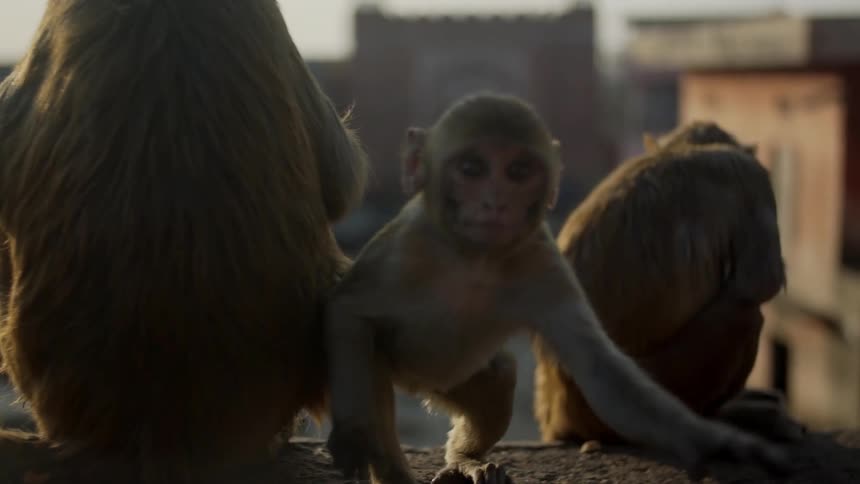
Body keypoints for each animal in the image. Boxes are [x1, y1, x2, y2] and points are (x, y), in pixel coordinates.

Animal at [532, 120, 806, 451]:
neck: (686, 149)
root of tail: (558, 409)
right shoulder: (750, 178)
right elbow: (758, 282)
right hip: (660, 389)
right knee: (745, 315)